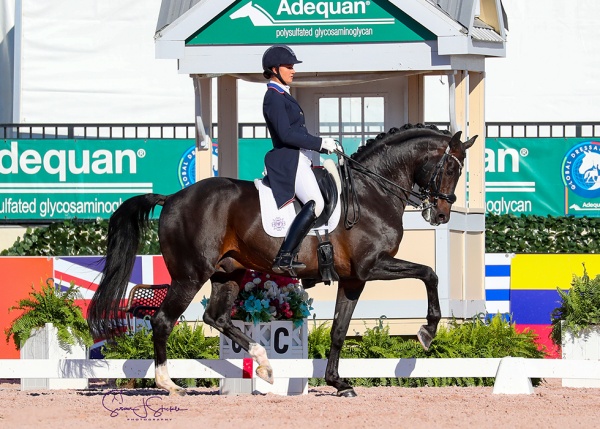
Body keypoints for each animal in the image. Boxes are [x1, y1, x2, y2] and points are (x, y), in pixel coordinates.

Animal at [86, 122, 476, 396]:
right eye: (451, 168)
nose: (441, 215)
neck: (372, 192)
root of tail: (172, 198)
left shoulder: (355, 278)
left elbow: (339, 330)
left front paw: (338, 383)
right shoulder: (373, 266)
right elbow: (429, 273)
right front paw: (427, 331)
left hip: (228, 274)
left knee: (215, 317)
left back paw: (263, 364)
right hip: (189, 275)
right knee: (163, 321)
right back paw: (170, 384)